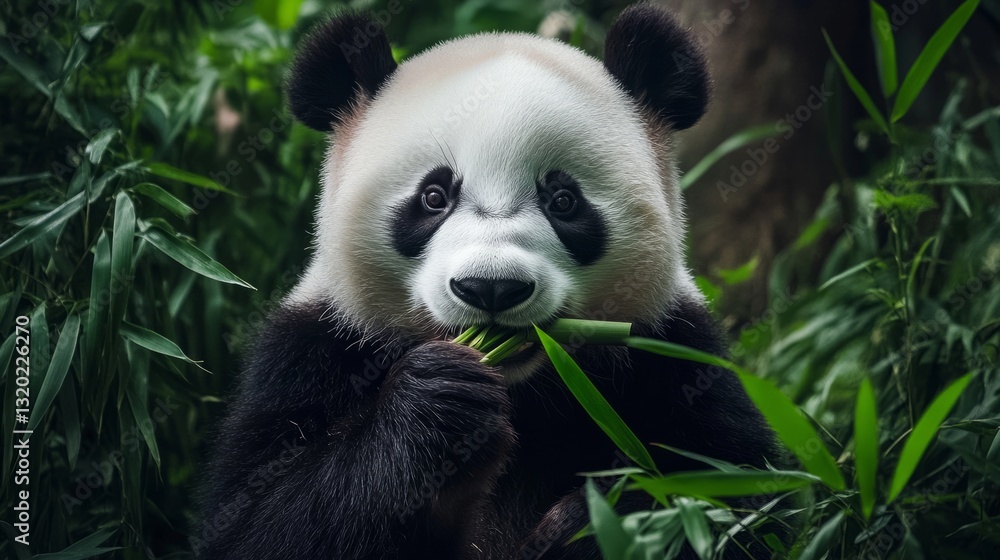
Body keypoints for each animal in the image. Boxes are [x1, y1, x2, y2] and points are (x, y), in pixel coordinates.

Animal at [196, 4, 781, 559]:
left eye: (563, 200)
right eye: (434, 197)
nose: (492, 288)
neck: (527, 387)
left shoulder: (675, 354)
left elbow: (736, 499)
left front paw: (593, 526)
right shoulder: (313, 351)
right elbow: (261, 520)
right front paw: (440, 402)